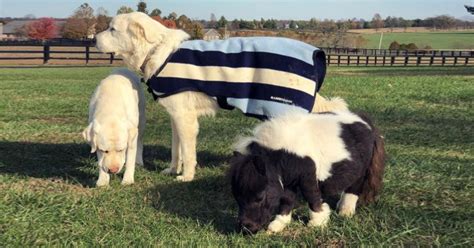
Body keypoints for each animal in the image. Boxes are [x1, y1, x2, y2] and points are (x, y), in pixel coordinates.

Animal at [96, 12, 348, 182]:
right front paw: (172, 169)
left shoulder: (186, 120)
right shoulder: (176, 117)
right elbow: (177, 149)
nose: (95, 39)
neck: (157, 51)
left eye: (112, 29)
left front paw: (186, 177)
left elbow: (188, 154)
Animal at [230, 111, 386, 234]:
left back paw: (345, 211)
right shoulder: (288, 180)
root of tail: (367, 122)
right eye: (236, 197)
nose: (246, 229)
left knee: (354, 187)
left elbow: (311, 196)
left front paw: (317, 222)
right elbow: (287, 199)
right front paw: (278, 225)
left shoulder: (308, 176)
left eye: (260, 197)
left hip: (361, 171)